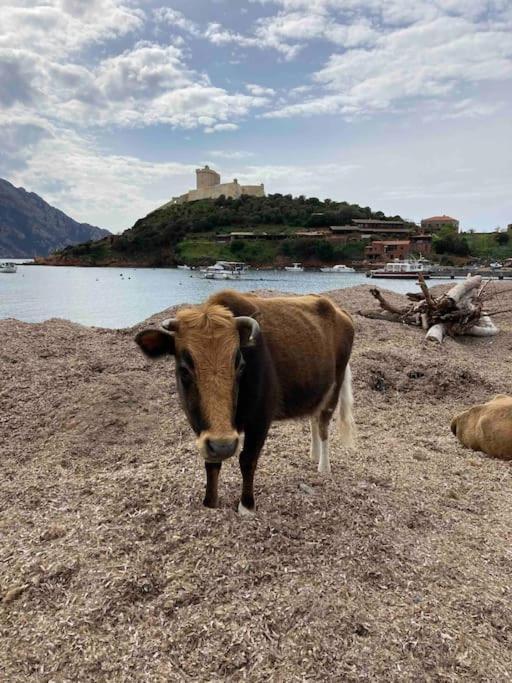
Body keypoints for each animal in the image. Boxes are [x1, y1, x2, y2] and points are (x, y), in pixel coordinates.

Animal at [134, 288, 354, 512]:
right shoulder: (201, 426)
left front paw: (246, 505)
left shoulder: (261, 419)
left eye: (239, 365)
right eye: (184, 369)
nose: (223, 445)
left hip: (334, 388)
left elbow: (248, 459)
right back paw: (314, 454)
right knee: (313, 418)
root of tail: (339, 312)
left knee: (323, 424)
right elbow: (211, 462)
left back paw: (323, 466)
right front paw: (210, 502)